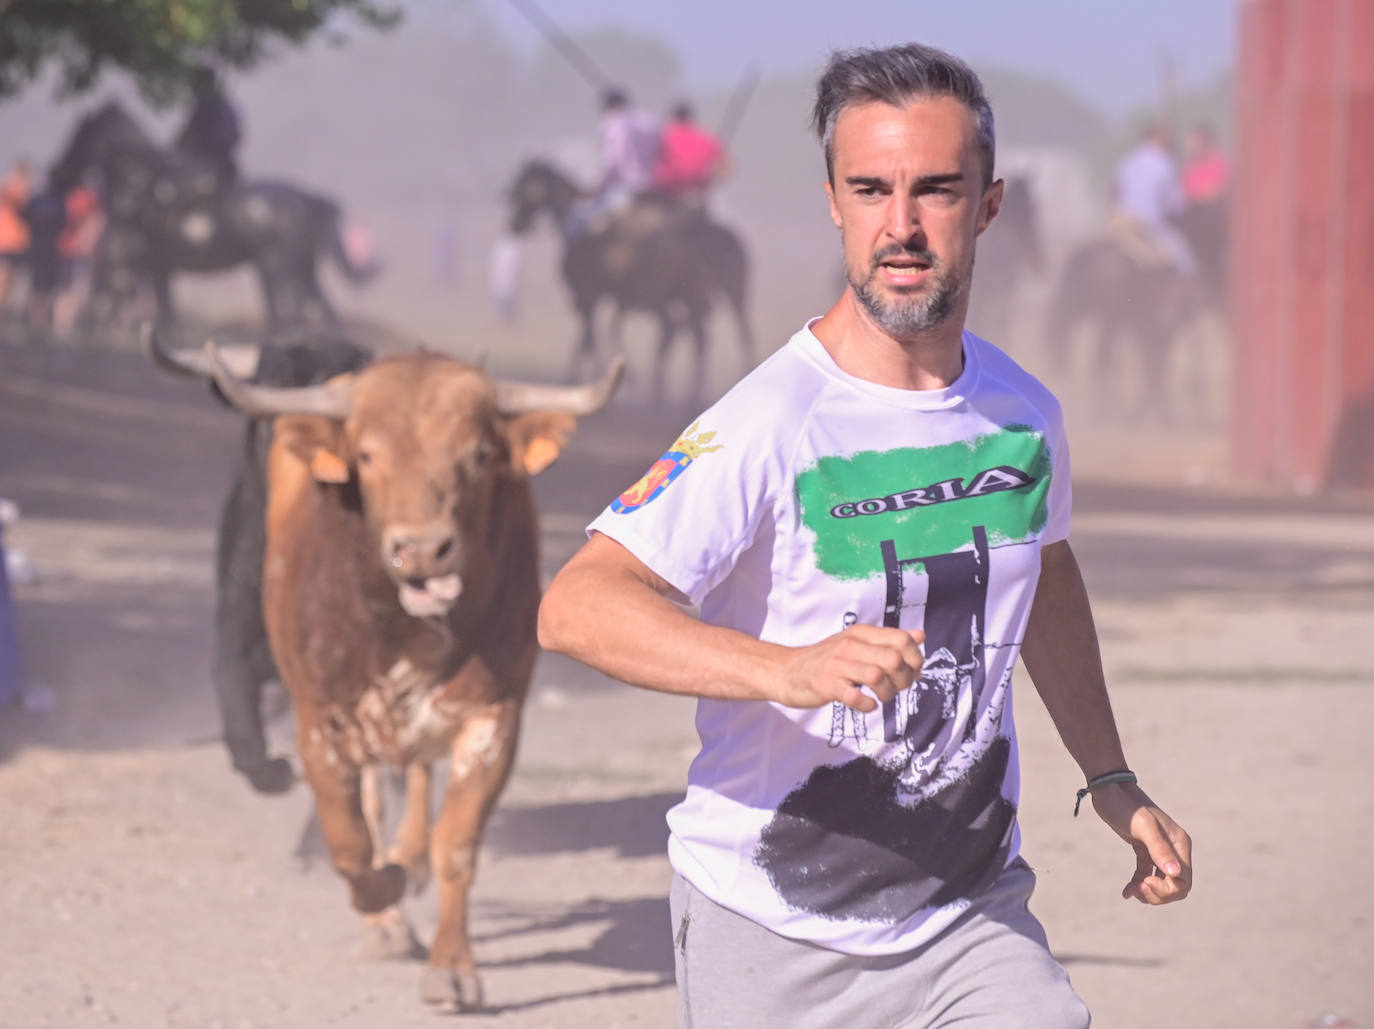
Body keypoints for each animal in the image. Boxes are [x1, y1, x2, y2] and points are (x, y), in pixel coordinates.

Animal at [49, 101, 379, 333]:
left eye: (79, 135)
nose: (56, 174)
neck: (138, 181)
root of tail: (308, 198)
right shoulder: (156, 269)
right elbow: (165, 316)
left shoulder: (129, 266)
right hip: (298, 269)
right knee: (320, 312)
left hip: (276, 267)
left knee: (293, 316)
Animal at [207, 340, 623, 1005]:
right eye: (367, 454)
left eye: (478, 454)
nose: (422, 551)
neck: (401, 629)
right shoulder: (321, 720)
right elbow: (351, 844)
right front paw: (385, 902)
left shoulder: (493, 715)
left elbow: (456, 843)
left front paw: (451, 967)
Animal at [494, 158, 752, 403]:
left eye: (524, 190)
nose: (513, 223)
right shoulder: (610, 298)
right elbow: (595, 336)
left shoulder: (588, 294)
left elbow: (589, 338)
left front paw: (580, 378)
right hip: (689, 293)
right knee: (696, 332)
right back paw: (675, 390)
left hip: (667, 293)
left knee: (692, 332)